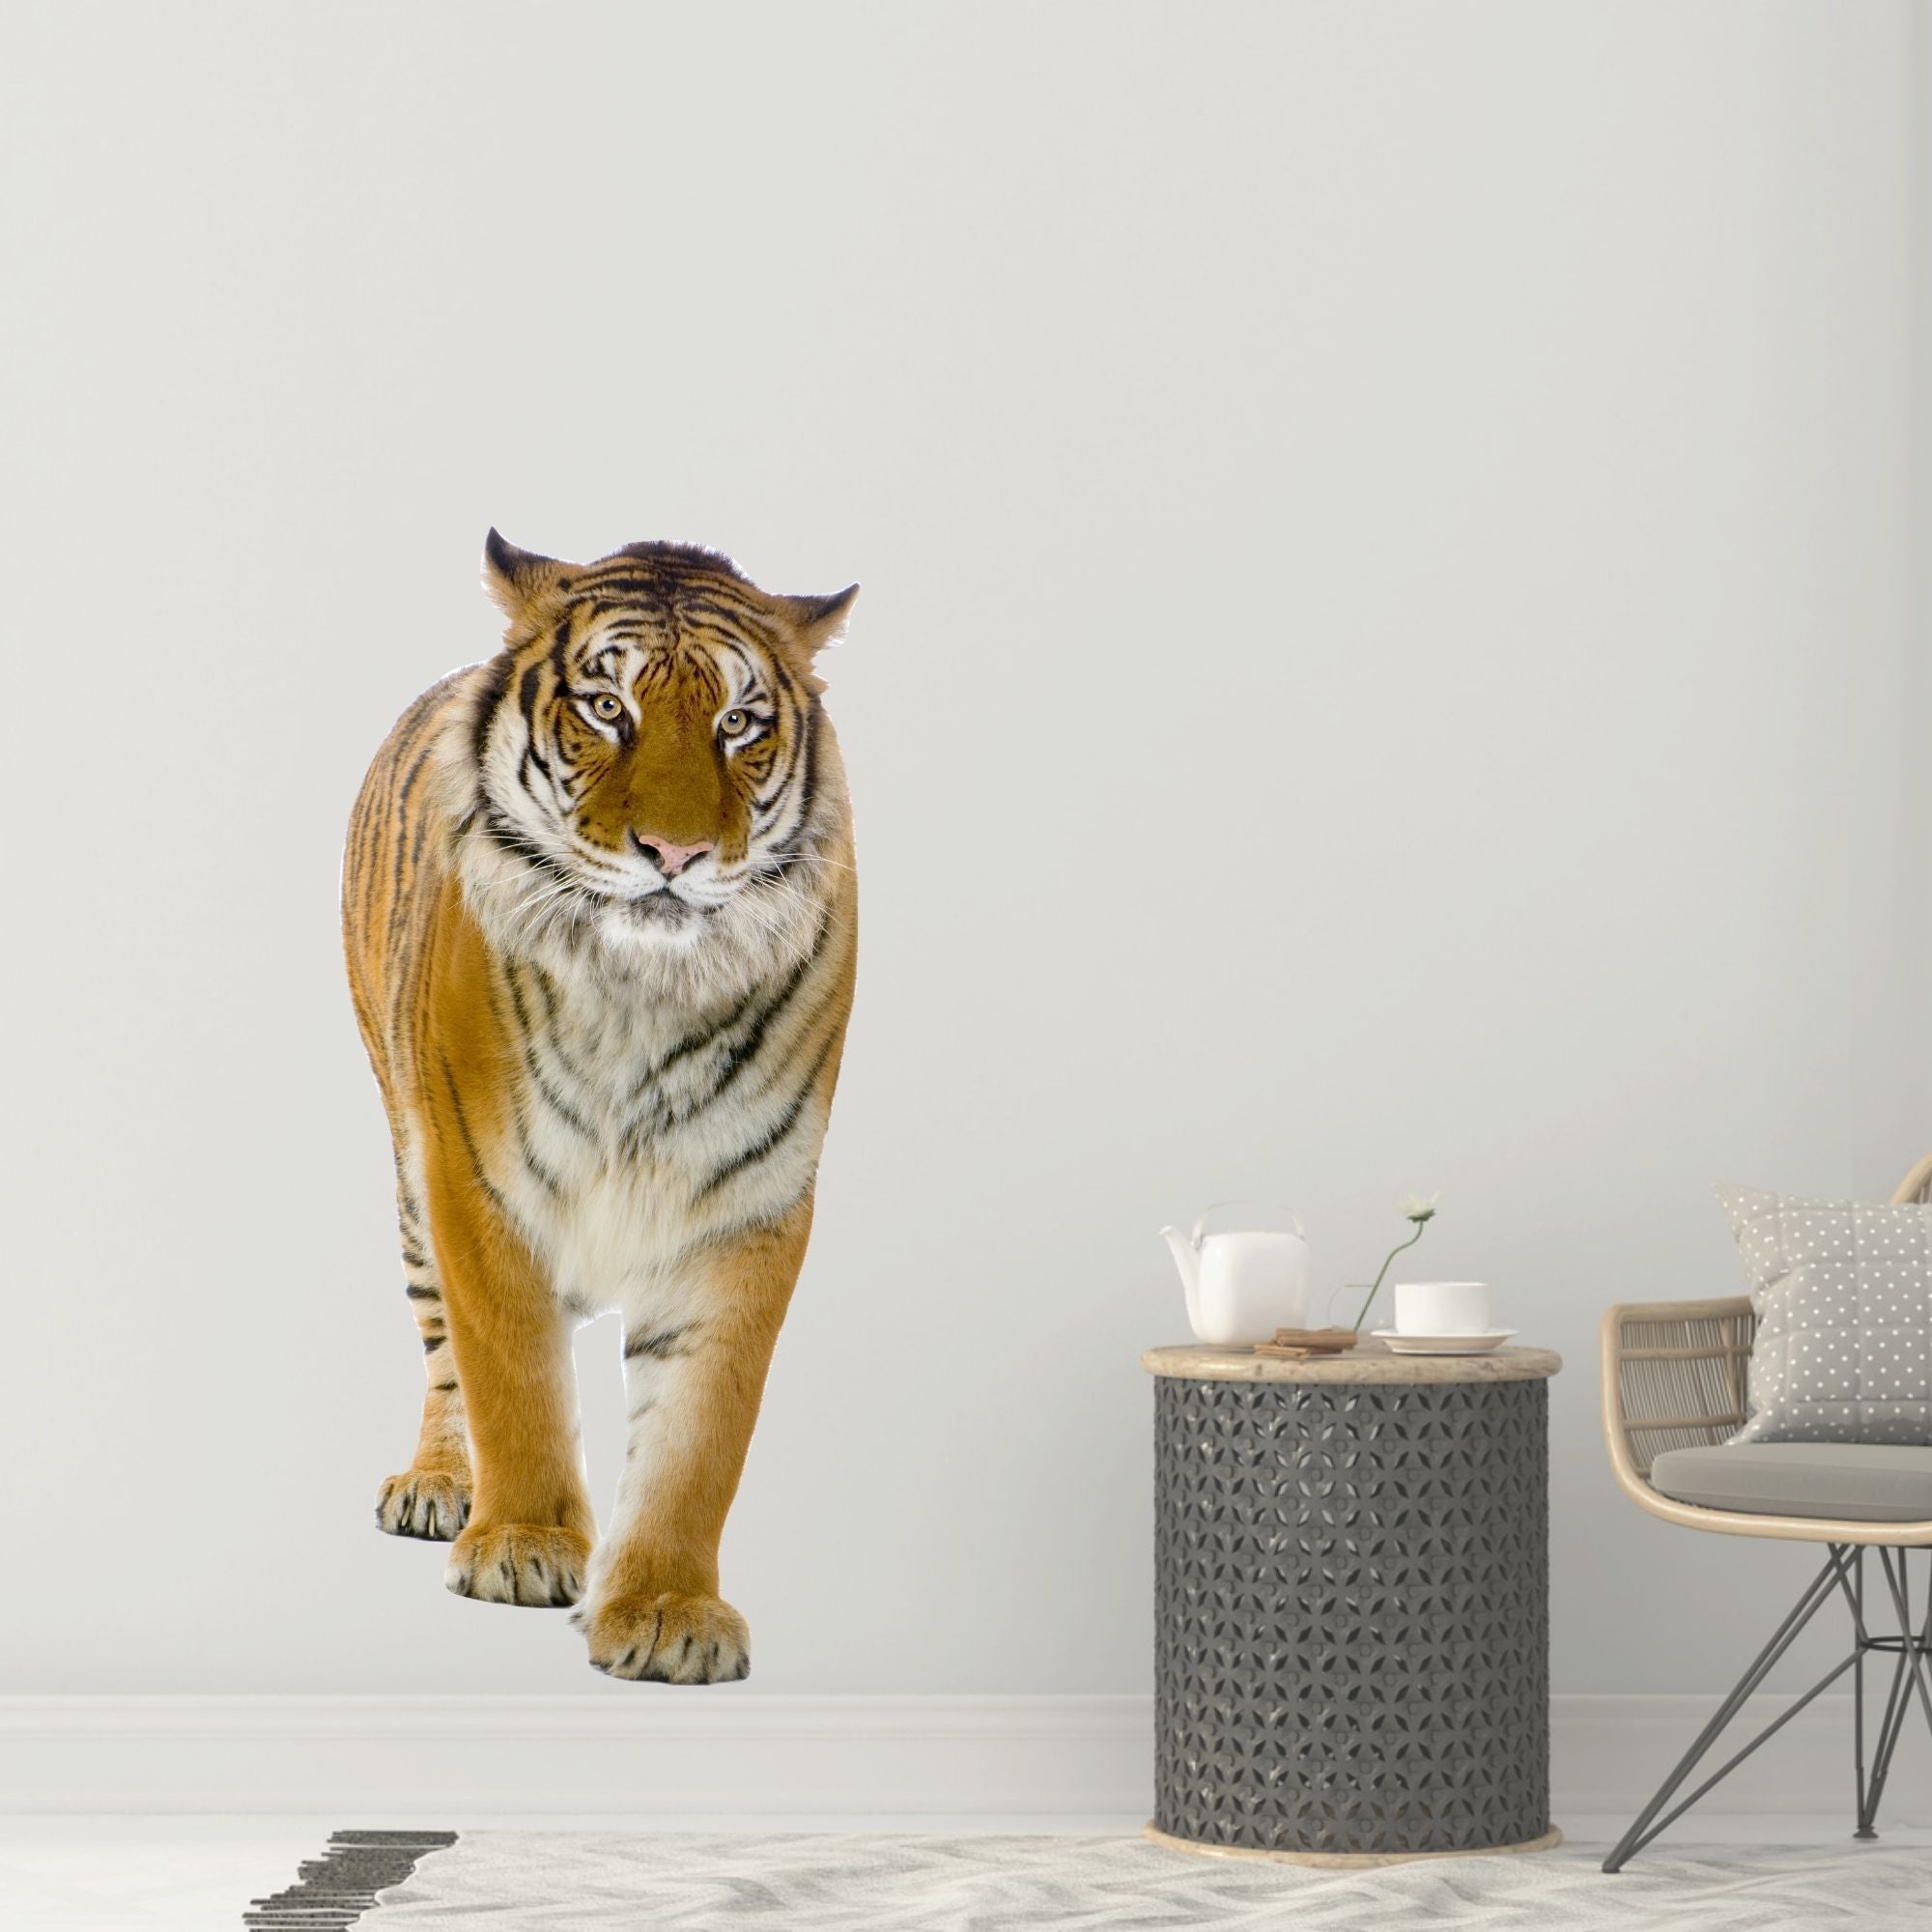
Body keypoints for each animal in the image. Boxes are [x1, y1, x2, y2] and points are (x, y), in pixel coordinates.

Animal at [342, 531, 858, 1685]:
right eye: (607, 707)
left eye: (738, 723)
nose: (674, 854)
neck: (642, 991)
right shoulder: (477, 1180)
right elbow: (512, 1380)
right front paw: (524, 1544)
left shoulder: (747, 1208)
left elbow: (699, 1436)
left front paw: (667, 1608)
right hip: (405, 1163)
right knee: (442, 1349)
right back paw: (442, 1485)